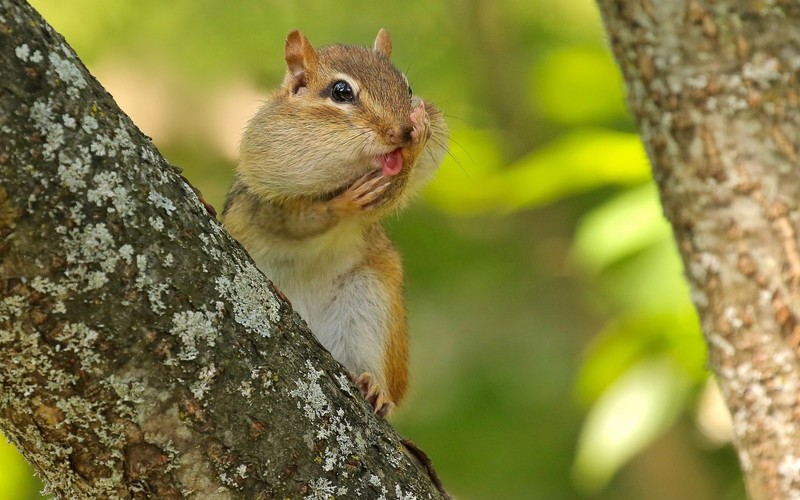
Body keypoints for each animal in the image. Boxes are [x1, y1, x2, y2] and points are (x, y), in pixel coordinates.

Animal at [221, 29, 448, 416]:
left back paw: (375, 388)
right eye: (341, 91)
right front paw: (340, 205)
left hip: (371, 295)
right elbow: (299, 221)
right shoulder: (267, 195)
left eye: (408, 88)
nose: (403, 130)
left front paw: (420, 133)